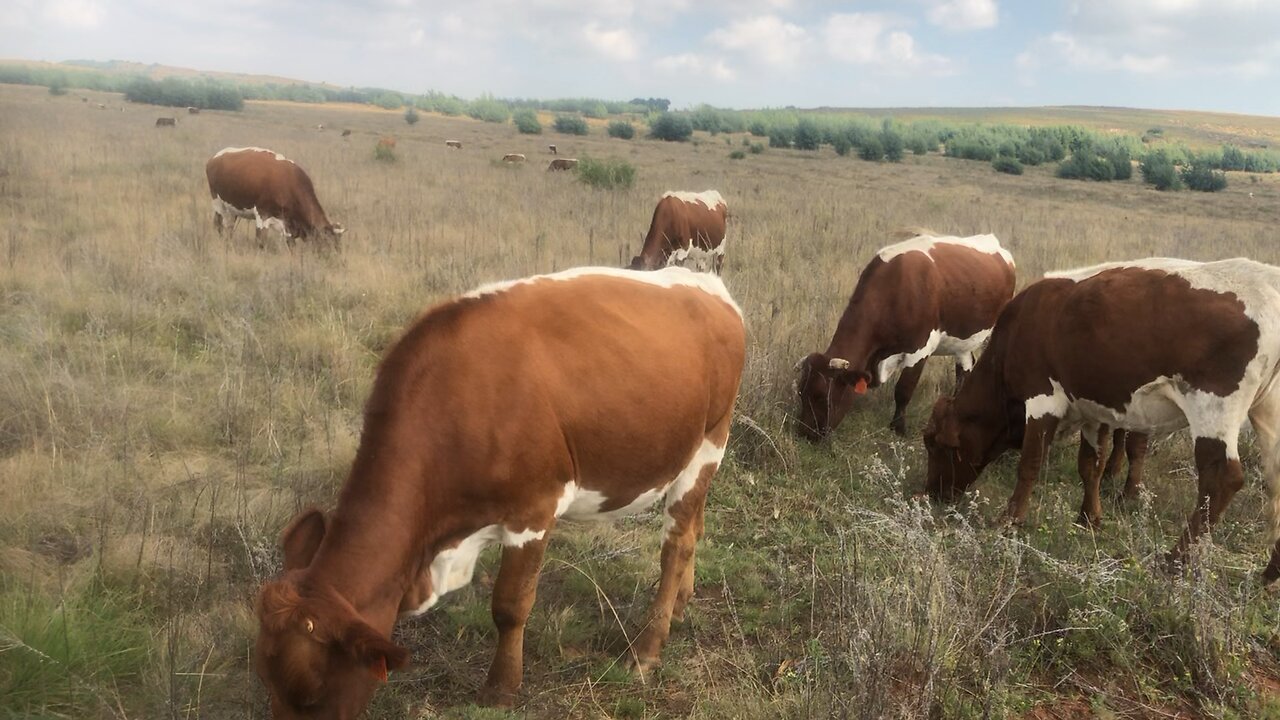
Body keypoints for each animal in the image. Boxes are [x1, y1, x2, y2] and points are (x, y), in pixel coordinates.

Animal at [204, 144, 345, 251]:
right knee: (219, 225)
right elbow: (260, 242)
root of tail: (215, 157)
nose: (334, 260)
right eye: (327, 242)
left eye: (338, 244)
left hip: (232, 209)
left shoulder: (288, 224)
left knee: (229, 227)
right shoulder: (262, 215)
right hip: (218, 204)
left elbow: (291, 244)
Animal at [253, 265, 747, 712]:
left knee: (677, 541)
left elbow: (510, 606)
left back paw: (646, 648)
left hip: (709, 442)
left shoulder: (533, 511)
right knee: (695, 527)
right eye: (267, 681)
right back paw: (681, 603)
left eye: (310, 693)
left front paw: (501, 690)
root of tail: (706, 285)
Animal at [793, 229, 1013, 438]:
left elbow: (903, 390)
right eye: (801, 393)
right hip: (963, 340)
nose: (806, 433)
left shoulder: (920, 349)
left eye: (822, 396)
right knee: (964, 367)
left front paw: (898, 428)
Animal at [921, 254, 1280, 579]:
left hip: (1214, 409)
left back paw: (1174, 560)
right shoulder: (1091, 410)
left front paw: (1009, 520)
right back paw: (1270, 573)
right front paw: (1088, 517)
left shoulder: (1041, 399)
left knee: (1221, 479)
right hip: (1268, 411)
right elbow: (1090, 464)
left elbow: (1030, 464)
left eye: (934, 444)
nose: (933, 494)